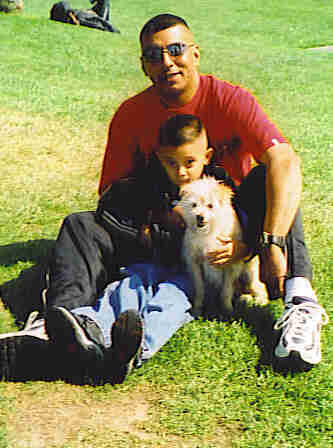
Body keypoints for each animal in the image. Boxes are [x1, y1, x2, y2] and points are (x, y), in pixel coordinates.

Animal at [176, 176, 268, 318]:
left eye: (210, 206)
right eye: (194, 205)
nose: (199, 217)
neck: (209, 232)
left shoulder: (229, 266)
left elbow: (226, 291)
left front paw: (227, 310)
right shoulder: (195, 265)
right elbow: (199, 289)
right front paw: (197, 309)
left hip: (249, 273)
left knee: (258, 286)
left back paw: (259, 300)